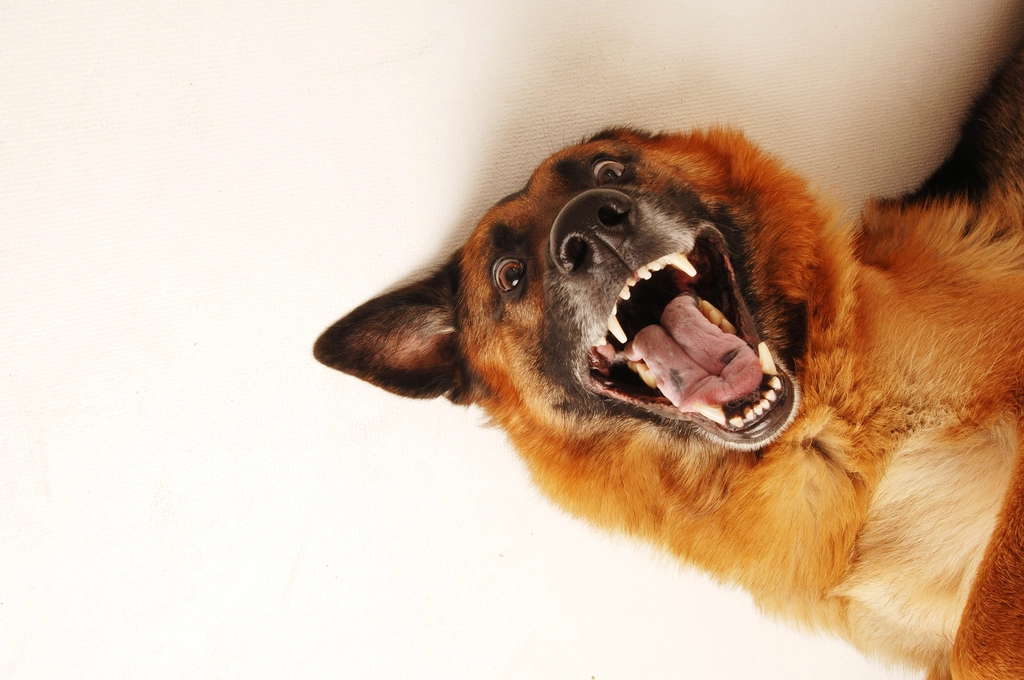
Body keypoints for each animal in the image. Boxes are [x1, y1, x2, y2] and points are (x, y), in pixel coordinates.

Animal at [311, 45, 1024, 675]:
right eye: (509, 275)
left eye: (608, 171)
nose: (591, 226)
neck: (821, 437)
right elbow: (970, 650)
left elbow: (978, 646)